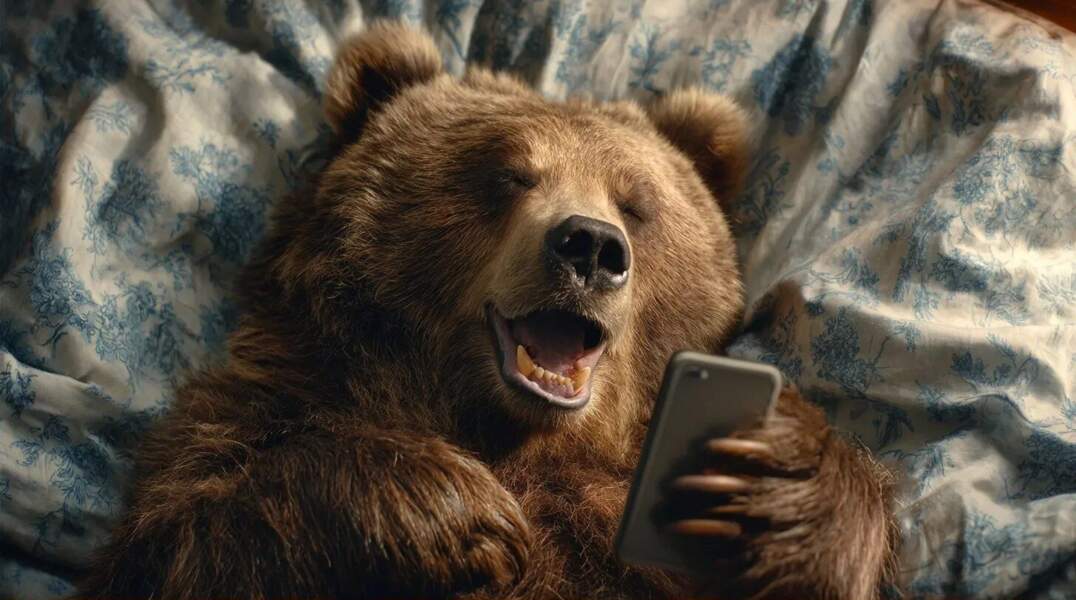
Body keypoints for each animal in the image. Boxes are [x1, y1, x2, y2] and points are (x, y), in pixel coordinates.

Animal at [78, 22, 896, 600]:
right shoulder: (259, 402)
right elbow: (178, 534)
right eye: (508, 173)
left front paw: (781, 487)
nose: (590, 246)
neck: (515, 436)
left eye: (637, 202)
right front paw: (460, 513)